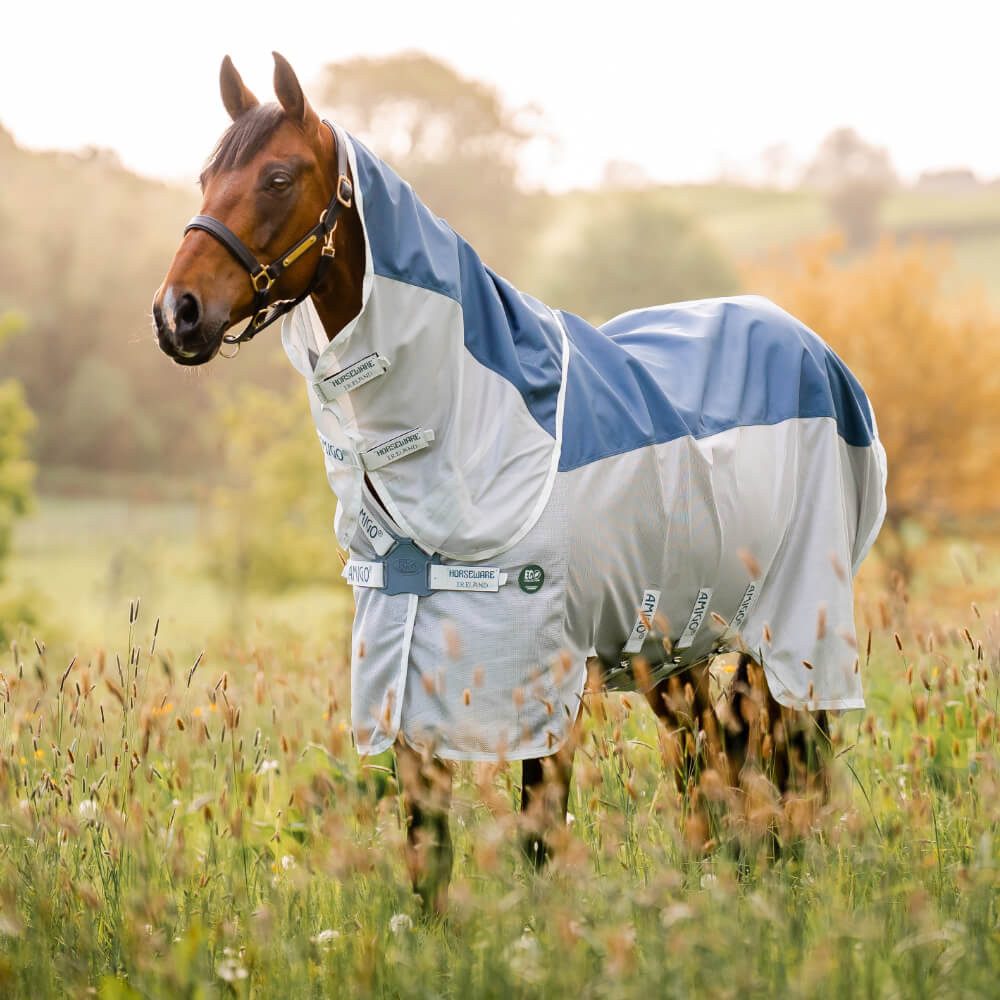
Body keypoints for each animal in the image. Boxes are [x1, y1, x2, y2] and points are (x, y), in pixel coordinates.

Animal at [153, 53, 887, 913]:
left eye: (275, 177)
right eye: (206, 176)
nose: (177, 314)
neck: (471, 440)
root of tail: (815, 349)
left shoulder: (545, 681)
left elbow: (539, 832)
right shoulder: (409, 676)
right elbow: (426, 846)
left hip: (795, 634)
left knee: (791, 766)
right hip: (675, 649)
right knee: (709, 771)